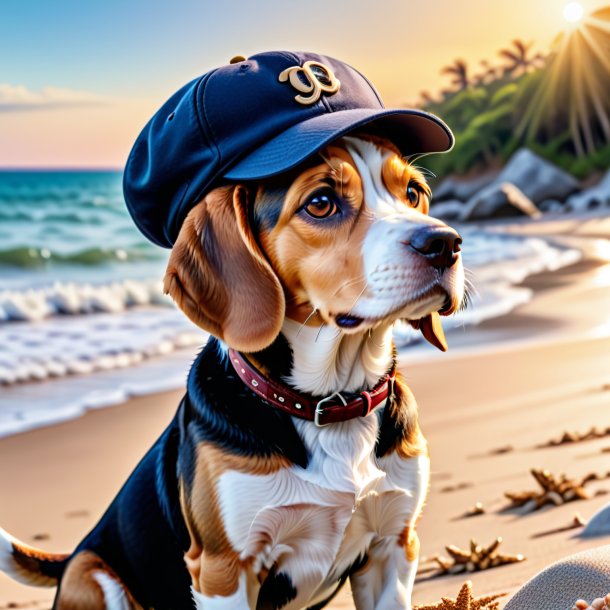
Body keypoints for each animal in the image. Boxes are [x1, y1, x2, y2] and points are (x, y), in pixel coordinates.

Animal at [0, 53, 460, 608]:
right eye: (321, 202)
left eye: (413, 193)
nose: (446, 244)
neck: (329, 402)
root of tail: (72, 554)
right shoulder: (222, 570)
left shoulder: (393, 545)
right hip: (95, 575)